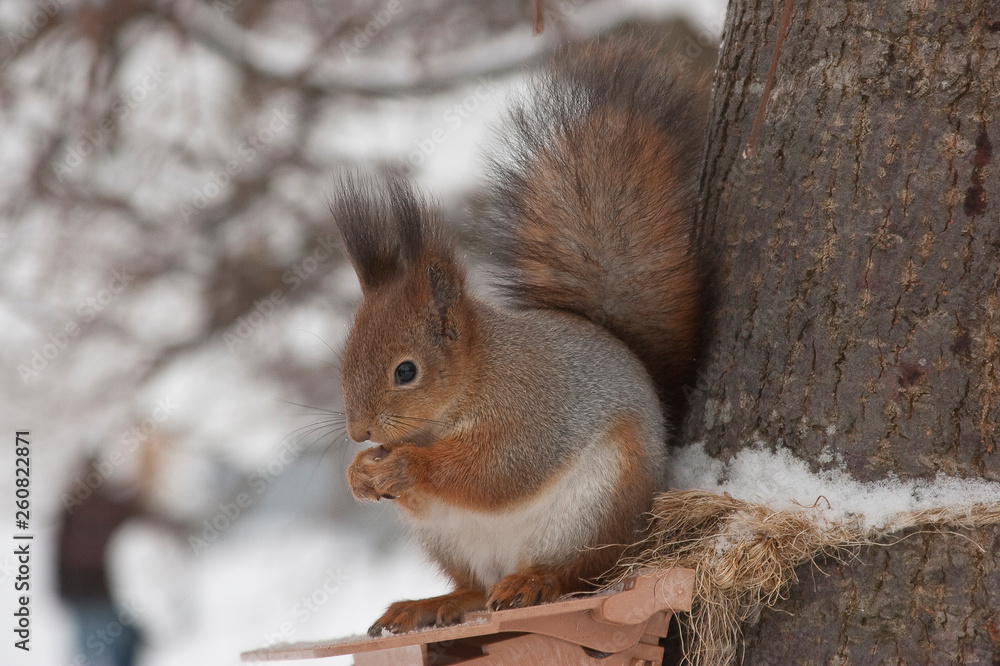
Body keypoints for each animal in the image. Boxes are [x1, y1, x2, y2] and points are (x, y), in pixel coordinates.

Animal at [331, 38, 706, 636]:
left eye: (405, 371)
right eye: (343, 362)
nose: (358, 432)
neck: (475, 378)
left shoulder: (532, 407)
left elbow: (498, 470)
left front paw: (407, 467)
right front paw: (360, 474)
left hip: (592, 513)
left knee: (577, 574)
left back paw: (534, 583)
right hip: (449, 540)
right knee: (473, 588)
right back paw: (431, 604)